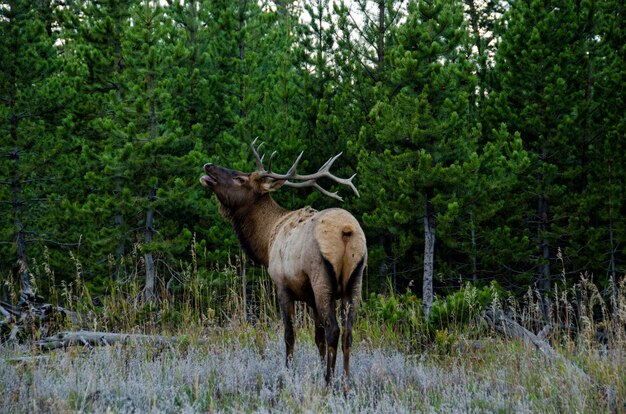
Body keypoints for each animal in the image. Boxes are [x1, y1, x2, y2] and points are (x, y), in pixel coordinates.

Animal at [199, 141, 366, 384]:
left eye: (240, 178)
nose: (208, 165)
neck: (266, 241)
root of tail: (347, 231)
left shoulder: (282, 286)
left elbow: (289, 334)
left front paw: (287, 372)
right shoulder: (311, 299)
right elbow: (317, 338)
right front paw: (317, 369)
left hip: (322, 280)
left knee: (334, 330)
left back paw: (329, 382)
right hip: (355, 281)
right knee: (348, 332)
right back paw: (344, 382)